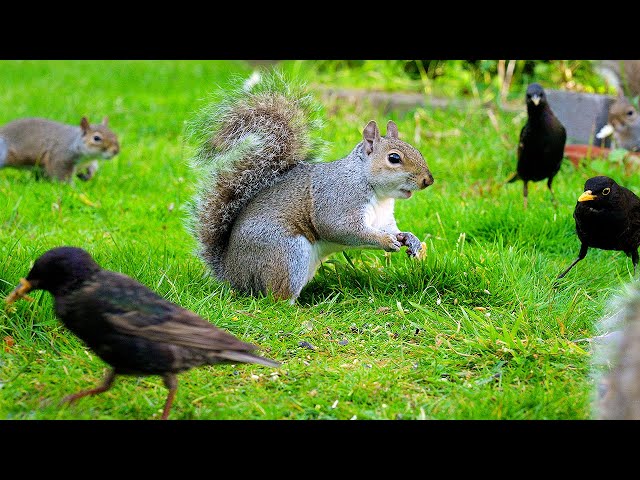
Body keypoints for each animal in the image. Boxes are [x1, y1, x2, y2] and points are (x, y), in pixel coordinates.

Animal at [186, 70, 436, 304]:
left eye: (417, 150)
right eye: (394, 158)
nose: (428, 180)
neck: (375, 190)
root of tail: (231, 274)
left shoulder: (382, 219)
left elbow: (391, 229)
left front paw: (410, 239)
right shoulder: (338, 200)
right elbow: (343, 229)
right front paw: (385, 242)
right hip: (287, 254)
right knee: (276, 297)